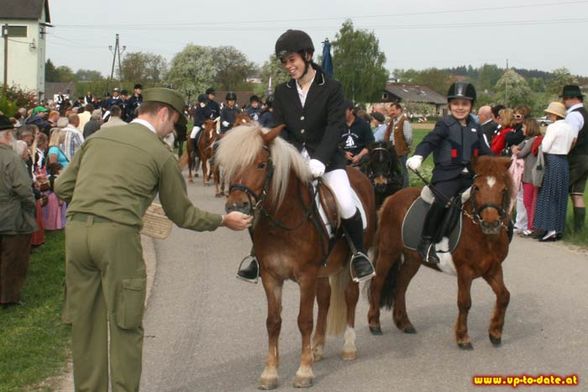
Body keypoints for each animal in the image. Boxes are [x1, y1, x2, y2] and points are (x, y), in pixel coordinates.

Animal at [217, 122, 376, 388]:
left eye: (261, 164)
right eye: (231, 165)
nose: (236, 207)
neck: (284, 222)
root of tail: (359, 175)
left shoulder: (306, 276)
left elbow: (304, 320)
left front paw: (304, 372)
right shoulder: (271, 277)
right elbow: (273, 322)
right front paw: (270, 373)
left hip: (348, 263)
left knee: (350, 297)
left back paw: (348, 347)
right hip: (324, 269)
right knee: (325, 298)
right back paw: (317, 347)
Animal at [366, 156, 512, 350]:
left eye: (503, 189)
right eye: (476, 187)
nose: (490, 224)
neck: (483, 236)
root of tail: (392, 198)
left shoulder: (492, 269)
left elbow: (504, 296)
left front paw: (495, 334)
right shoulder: (464, 271)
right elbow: (464, 303)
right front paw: (463, 338)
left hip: (413, 259)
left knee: (401, 284)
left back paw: (404, 323)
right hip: (388, 251)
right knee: (377, 282)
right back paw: (374, 323)